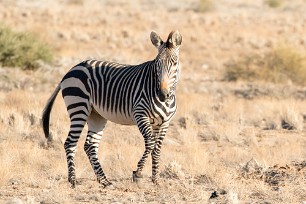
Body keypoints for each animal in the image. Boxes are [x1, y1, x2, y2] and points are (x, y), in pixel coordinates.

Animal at [42, 30, 183, 188]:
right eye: (156, 64)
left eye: (174, 62)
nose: (162, 94)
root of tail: (72, 68)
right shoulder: (140, 114)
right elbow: (150, 143)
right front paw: (138, 174)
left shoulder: (164, 123)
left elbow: (157, 149)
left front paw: (156, 179)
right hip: (79, 107)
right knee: (70, 143)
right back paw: (73, 180)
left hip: (96, 115)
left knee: (90, 145)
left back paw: (104, 180)